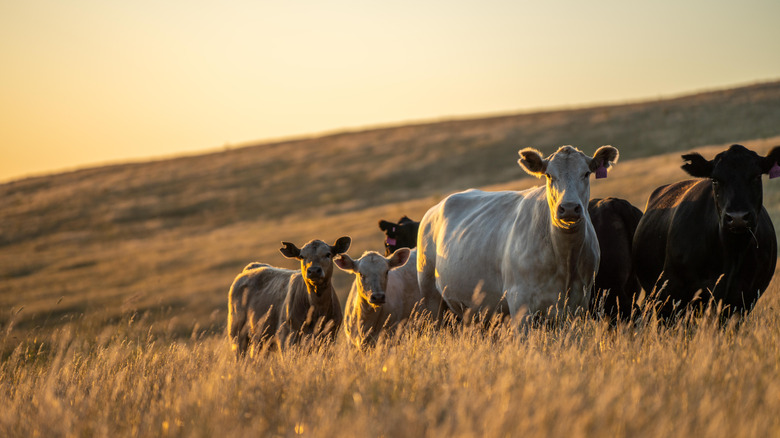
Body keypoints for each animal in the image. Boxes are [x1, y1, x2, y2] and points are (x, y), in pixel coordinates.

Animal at [417, 145, 619, 324]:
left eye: (586, 173)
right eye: (549, 175)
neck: (565, 258)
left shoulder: (578, 304)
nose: (569, 208)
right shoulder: (519, 300)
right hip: (431, 296)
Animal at [633, 144, 780, 319]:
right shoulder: (671, 292)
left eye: (757, 176)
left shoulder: (743, 300)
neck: (731, 254)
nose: (737, 217)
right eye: (715, 180)